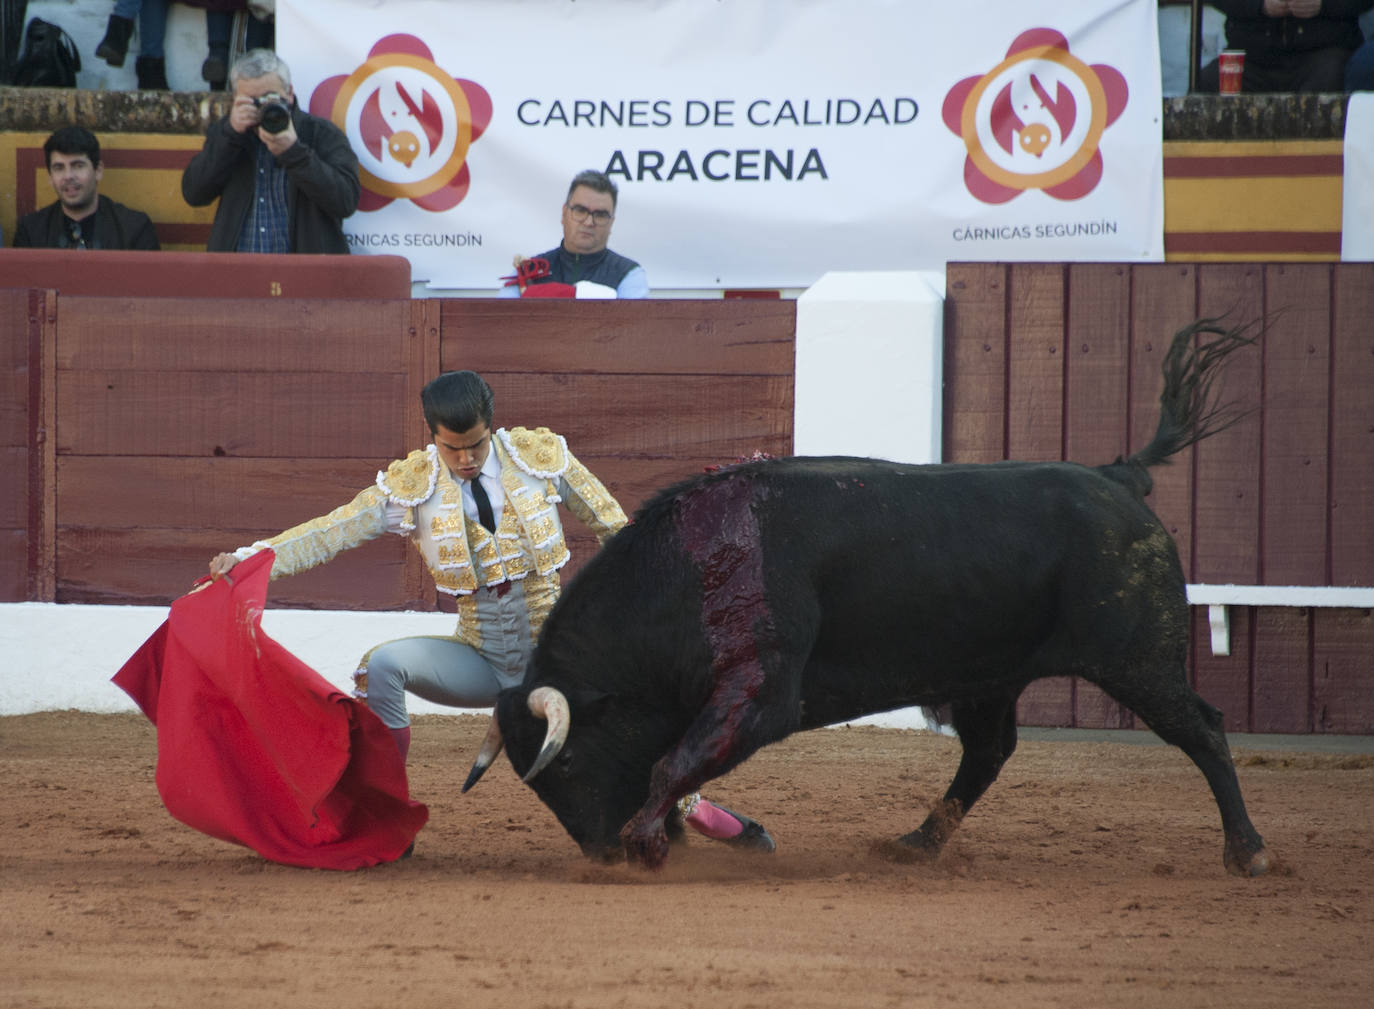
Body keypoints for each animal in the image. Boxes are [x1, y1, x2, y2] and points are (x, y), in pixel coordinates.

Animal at [467, 321, 1269, 879]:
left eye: (566, 763)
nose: (601, 854)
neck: (686, 568)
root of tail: (1116, 475)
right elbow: (675, 760)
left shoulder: (760, 690)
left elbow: (674, 762)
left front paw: (646, 842)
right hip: (989, 673)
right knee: (988, 751)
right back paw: (916, 842)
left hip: (1138, 659)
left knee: (1202, 728)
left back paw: (1248, 852)